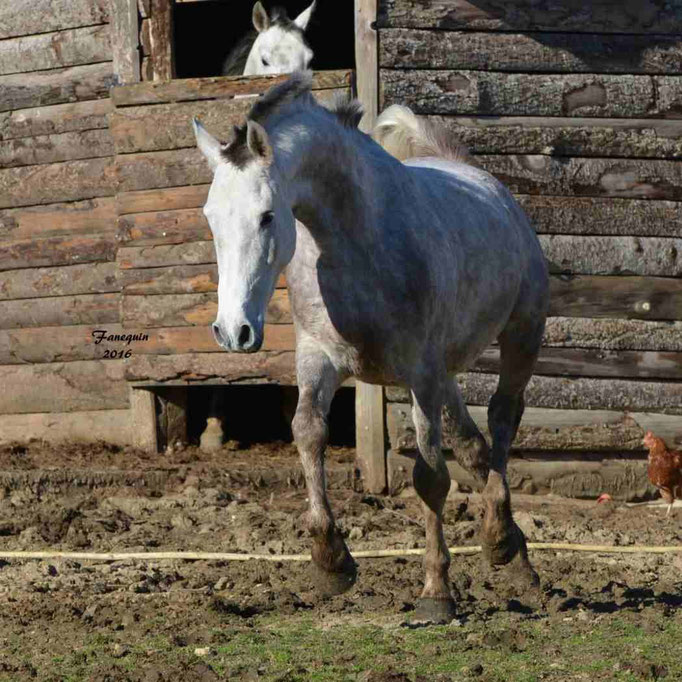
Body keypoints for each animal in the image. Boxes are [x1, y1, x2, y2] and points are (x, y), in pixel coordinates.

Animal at [191, 71, 548, 620]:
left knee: (503, 420)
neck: (358, 239)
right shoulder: (319, 359)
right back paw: (512, 554)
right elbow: (307, 434)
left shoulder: (422, 373)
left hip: (520, 335)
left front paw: (436, 593)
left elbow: (429, 478)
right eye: (211, 216)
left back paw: (500, 540)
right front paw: (331, 562)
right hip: (446, 374)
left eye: (268, 216)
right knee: (475, 446)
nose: (233, 331)